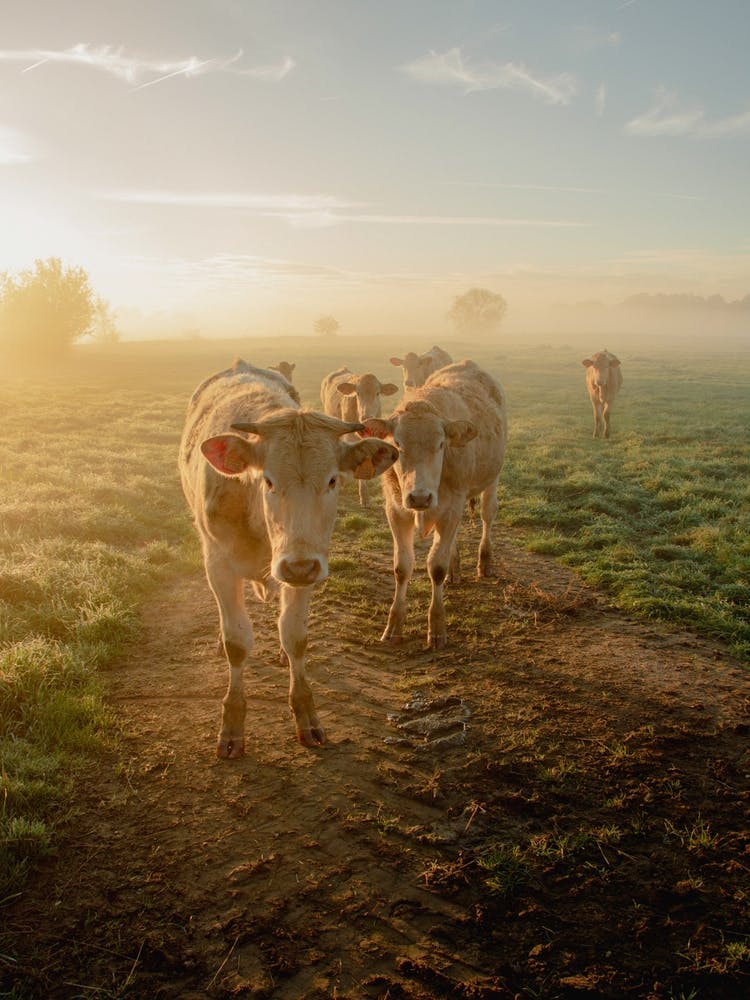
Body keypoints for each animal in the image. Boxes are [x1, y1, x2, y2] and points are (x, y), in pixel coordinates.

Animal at [363, 360, 507, 650]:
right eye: (397, 444)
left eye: (441, 444)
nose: (420, 497)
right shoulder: (396, 512)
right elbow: (402, 567)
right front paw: (394, 625)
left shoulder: (451, 508)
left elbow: (436, 567)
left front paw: (437, 627)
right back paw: (455, 567)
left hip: (491, 480)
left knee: (487, 516)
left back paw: (484, 561)